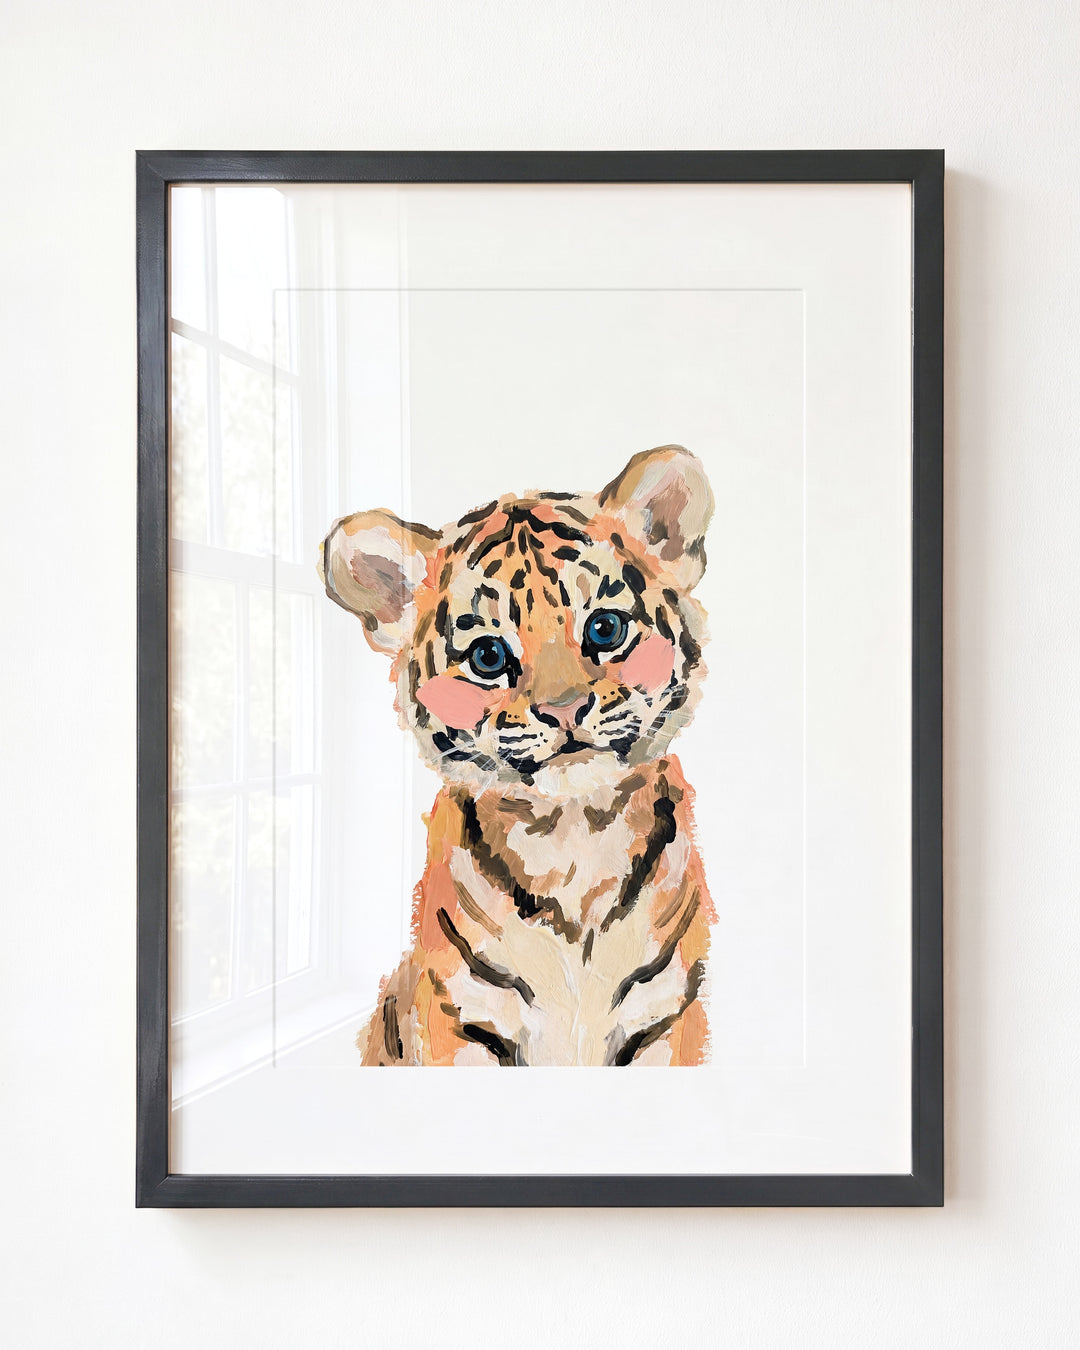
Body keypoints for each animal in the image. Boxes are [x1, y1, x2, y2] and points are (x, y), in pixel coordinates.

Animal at [320, 444, 716, 1066]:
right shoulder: (464, 1023)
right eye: (488, 656)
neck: (575, 843)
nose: (565, 708)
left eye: (605, 628)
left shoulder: (665, 1020)